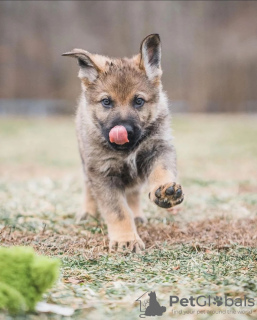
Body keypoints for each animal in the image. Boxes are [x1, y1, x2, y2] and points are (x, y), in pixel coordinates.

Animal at [61, 33, 182, 251]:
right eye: (106, 102)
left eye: (139, 101)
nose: (123, 130)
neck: (127, 150)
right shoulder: (101, 172)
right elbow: (117, 210)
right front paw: (126, 239)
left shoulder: (158, 149)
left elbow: (161, 171)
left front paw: (164, 190)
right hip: (86, 163)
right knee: (89, 188)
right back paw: (88, 212)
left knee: (133, 192)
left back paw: (138, 214)